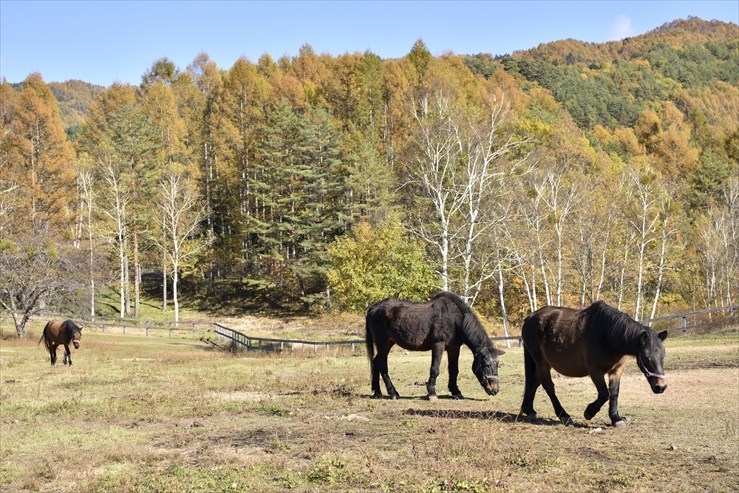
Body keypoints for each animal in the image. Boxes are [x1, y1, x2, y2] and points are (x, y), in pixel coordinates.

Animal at [366, 292, 506, 400]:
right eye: (486, 365)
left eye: (498, 364)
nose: (494, 390)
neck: (454, 319)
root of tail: (373, 307)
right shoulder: (438, 345)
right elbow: (435, 369)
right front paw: (432, 393)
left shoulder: (454, 348)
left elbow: (454, 370)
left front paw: (456, 392)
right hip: (383, 343)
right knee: (382, 365)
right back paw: (393, 393)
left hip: (388, 343)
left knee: (375, 362)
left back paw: (378, 393)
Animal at [516, 300, 668, 426]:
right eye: (645, 356)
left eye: (663, 355)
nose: (661, 386)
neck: (607, 335)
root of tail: (530, 318)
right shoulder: (595, 371)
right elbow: (604, 394)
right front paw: (589, 412)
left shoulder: (617, 371)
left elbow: (614, 393)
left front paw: (615, 418)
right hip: (542, 362)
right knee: (548, 386)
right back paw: (564, 415)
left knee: (533, 382)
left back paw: (530, 410)